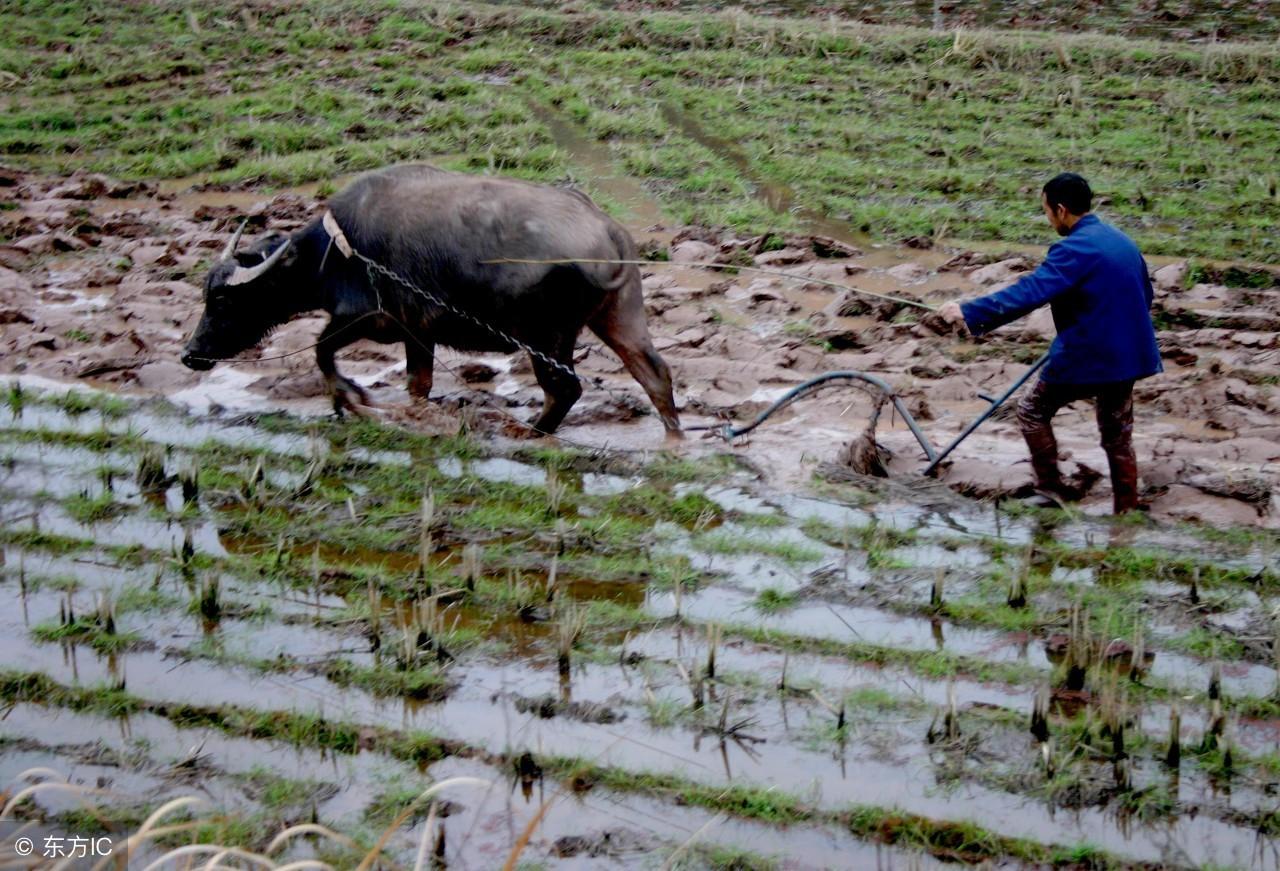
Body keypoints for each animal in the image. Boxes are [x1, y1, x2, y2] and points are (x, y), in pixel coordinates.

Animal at [183, 163, 680, 435]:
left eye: (223, 301)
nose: (190, 355)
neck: (334, 253)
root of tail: (606, 230)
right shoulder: (417, 333)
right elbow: (417, 385)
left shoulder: (368, 319)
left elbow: (322, 351)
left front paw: (351, 397)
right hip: (619, 318)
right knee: (655, 375)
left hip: (548, 338)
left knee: (565, 390)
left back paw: (530, 433)